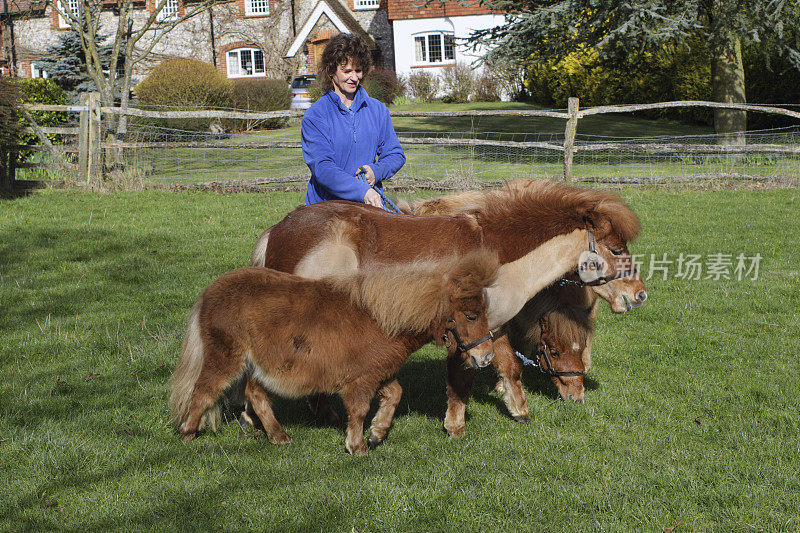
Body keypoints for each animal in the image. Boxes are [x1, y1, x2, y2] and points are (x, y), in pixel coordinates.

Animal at [170, 251, 496, 456]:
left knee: (256, 395)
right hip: (226, 358)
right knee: (203, 391)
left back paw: (278, 436)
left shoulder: (378, 373)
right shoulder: (361, 381)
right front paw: (357, 447)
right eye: (470, 316)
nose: (486, 358)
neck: (381, 318)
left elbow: (394, 395)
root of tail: (210, 292)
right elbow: (359, 410)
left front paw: (377, 433)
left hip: (259, 366)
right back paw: (187, 433)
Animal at [253, 179, 648, 436]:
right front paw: (455, 426)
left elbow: (509, 367)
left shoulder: (494, 327)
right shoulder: (464, 330)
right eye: (615, 249)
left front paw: (519, 410)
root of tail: (277, 231)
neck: (499, 258)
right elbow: (462, 378)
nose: (640, 294)